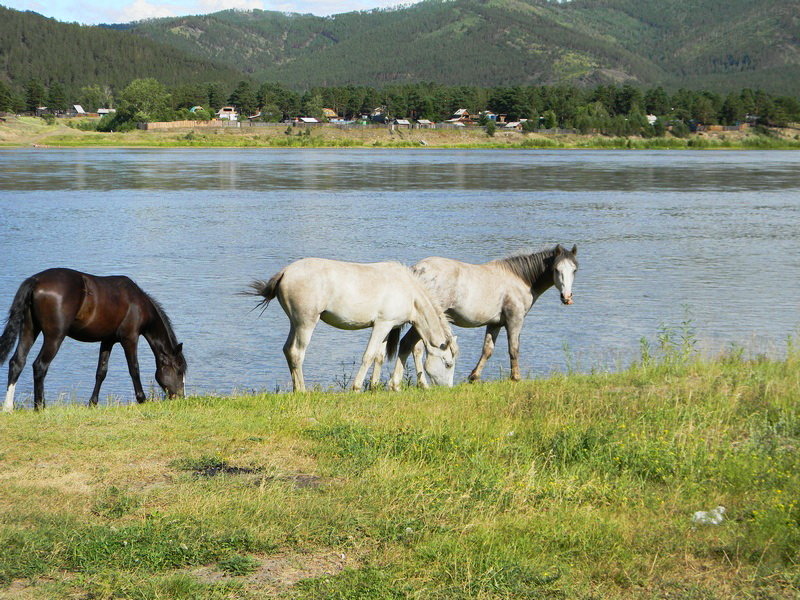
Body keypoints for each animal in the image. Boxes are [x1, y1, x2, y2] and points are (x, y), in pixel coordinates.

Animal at [1, 268, 188, 412]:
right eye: (179, 371)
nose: (181, 398)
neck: (137, 303)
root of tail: (36, 281)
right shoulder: (130, 338)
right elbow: (134, 369)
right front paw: (142, 399)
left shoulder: (107, 341)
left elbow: (101, 372)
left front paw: (92, 403)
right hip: (54, 337)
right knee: (40, 366)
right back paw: (40, 406)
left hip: (29, 330)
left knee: (17, 362)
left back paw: (8, 407)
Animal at [247, 258, 460, 394]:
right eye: (448, 364)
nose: (448, 389)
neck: (409, 291)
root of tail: (285, 272)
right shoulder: (382, 325)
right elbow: (368, 356)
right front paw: (357, 388)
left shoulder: (386, 327)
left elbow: (379, 357)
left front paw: (374, 387)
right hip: (305, 322)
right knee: (296, 352)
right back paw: (302, 390)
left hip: (295, 323)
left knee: (287, 350)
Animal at [390, 245, 580, 390]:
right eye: (557, 269)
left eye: (574, 270)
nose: (567, 297)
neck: (519, 279)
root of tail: (416, 271)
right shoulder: (515, 319)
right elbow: (514, 349)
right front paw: (515, 377)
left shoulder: (494, 324)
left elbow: (487, 350)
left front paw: (474, 376)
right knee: (408, 345)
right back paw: (401, 384)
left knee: (414, 347)